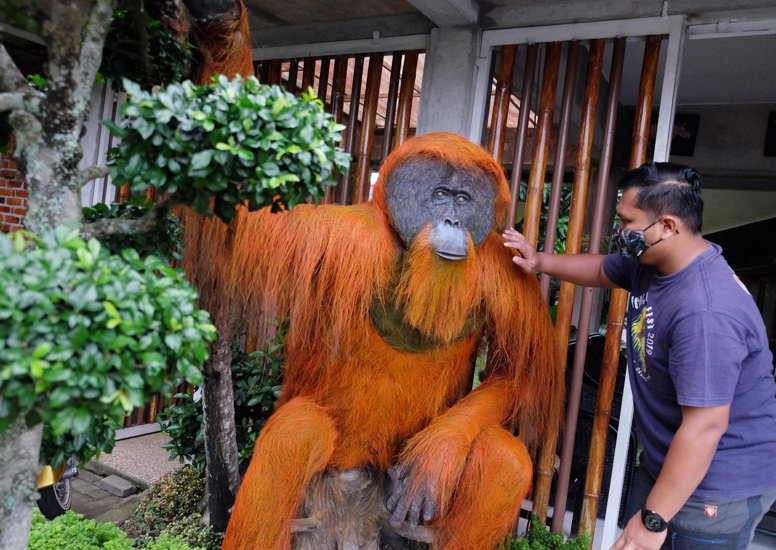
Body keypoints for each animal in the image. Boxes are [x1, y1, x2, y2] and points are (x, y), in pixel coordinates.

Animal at [183, 132, 563, 550]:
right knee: (294, 435)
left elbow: (514, 373)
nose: (452, 220)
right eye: (440, 194)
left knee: (503, 457)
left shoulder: (507, 269)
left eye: (463, 199)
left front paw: (436, 454)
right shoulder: (345, 234)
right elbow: (242, 226)